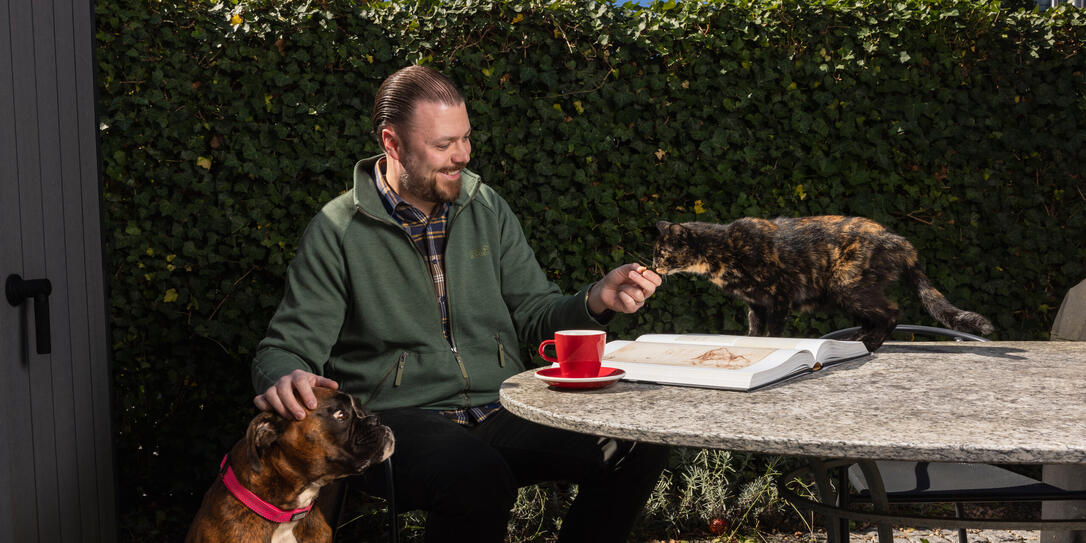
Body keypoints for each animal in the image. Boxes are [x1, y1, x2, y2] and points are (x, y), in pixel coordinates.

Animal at [647, 216, 994, 351]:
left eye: (661, 253)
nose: (653, 266)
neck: (722, 249)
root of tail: (902, 243)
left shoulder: (780, 294)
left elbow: (774, 330)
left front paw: (772, 344)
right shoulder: (756, 302)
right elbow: (755, 328)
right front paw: (753, 342)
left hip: (846, 283)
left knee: (892, 312)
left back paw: (870, 343)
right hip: (845, 293)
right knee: (874, 316)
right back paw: (856, 338)